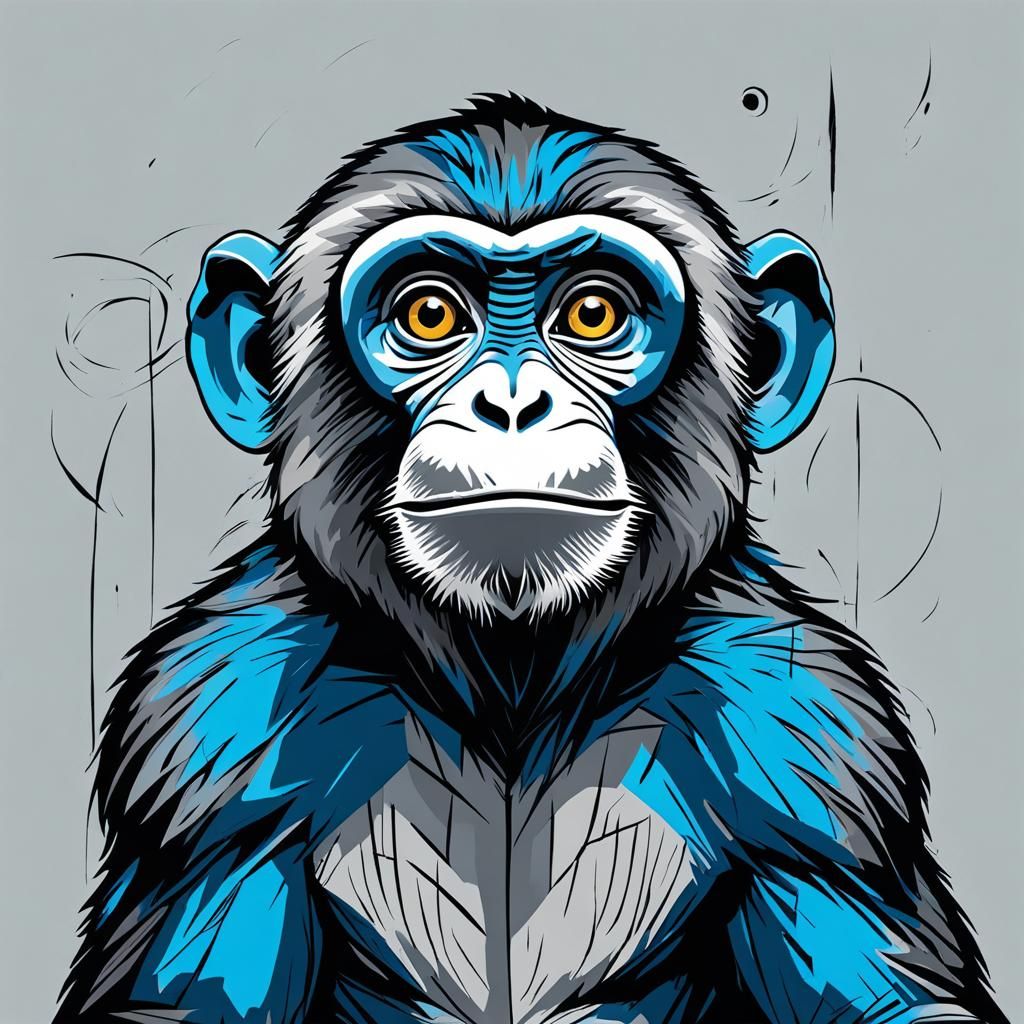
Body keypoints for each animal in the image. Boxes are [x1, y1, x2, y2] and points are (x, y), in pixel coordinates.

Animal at [55, 95, 1006, 1024]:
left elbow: (896, 1001)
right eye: (429, 314)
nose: (512, 403)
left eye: (592, 314)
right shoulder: (211, 737)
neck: (513, 698)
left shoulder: (811, 744)